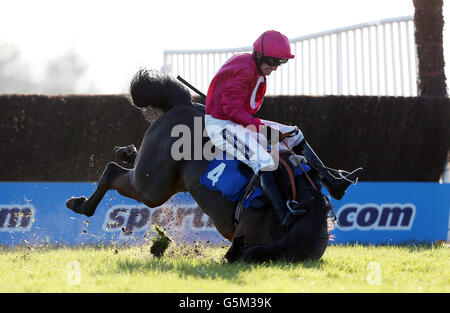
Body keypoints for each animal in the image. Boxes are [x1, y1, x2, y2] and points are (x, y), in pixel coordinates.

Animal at [67, 69, 334, 260]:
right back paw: (82, 204)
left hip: (162, 181)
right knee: (113, 172)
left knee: (123, 168)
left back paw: (123, 157)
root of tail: (185, 103)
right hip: (152, 187)